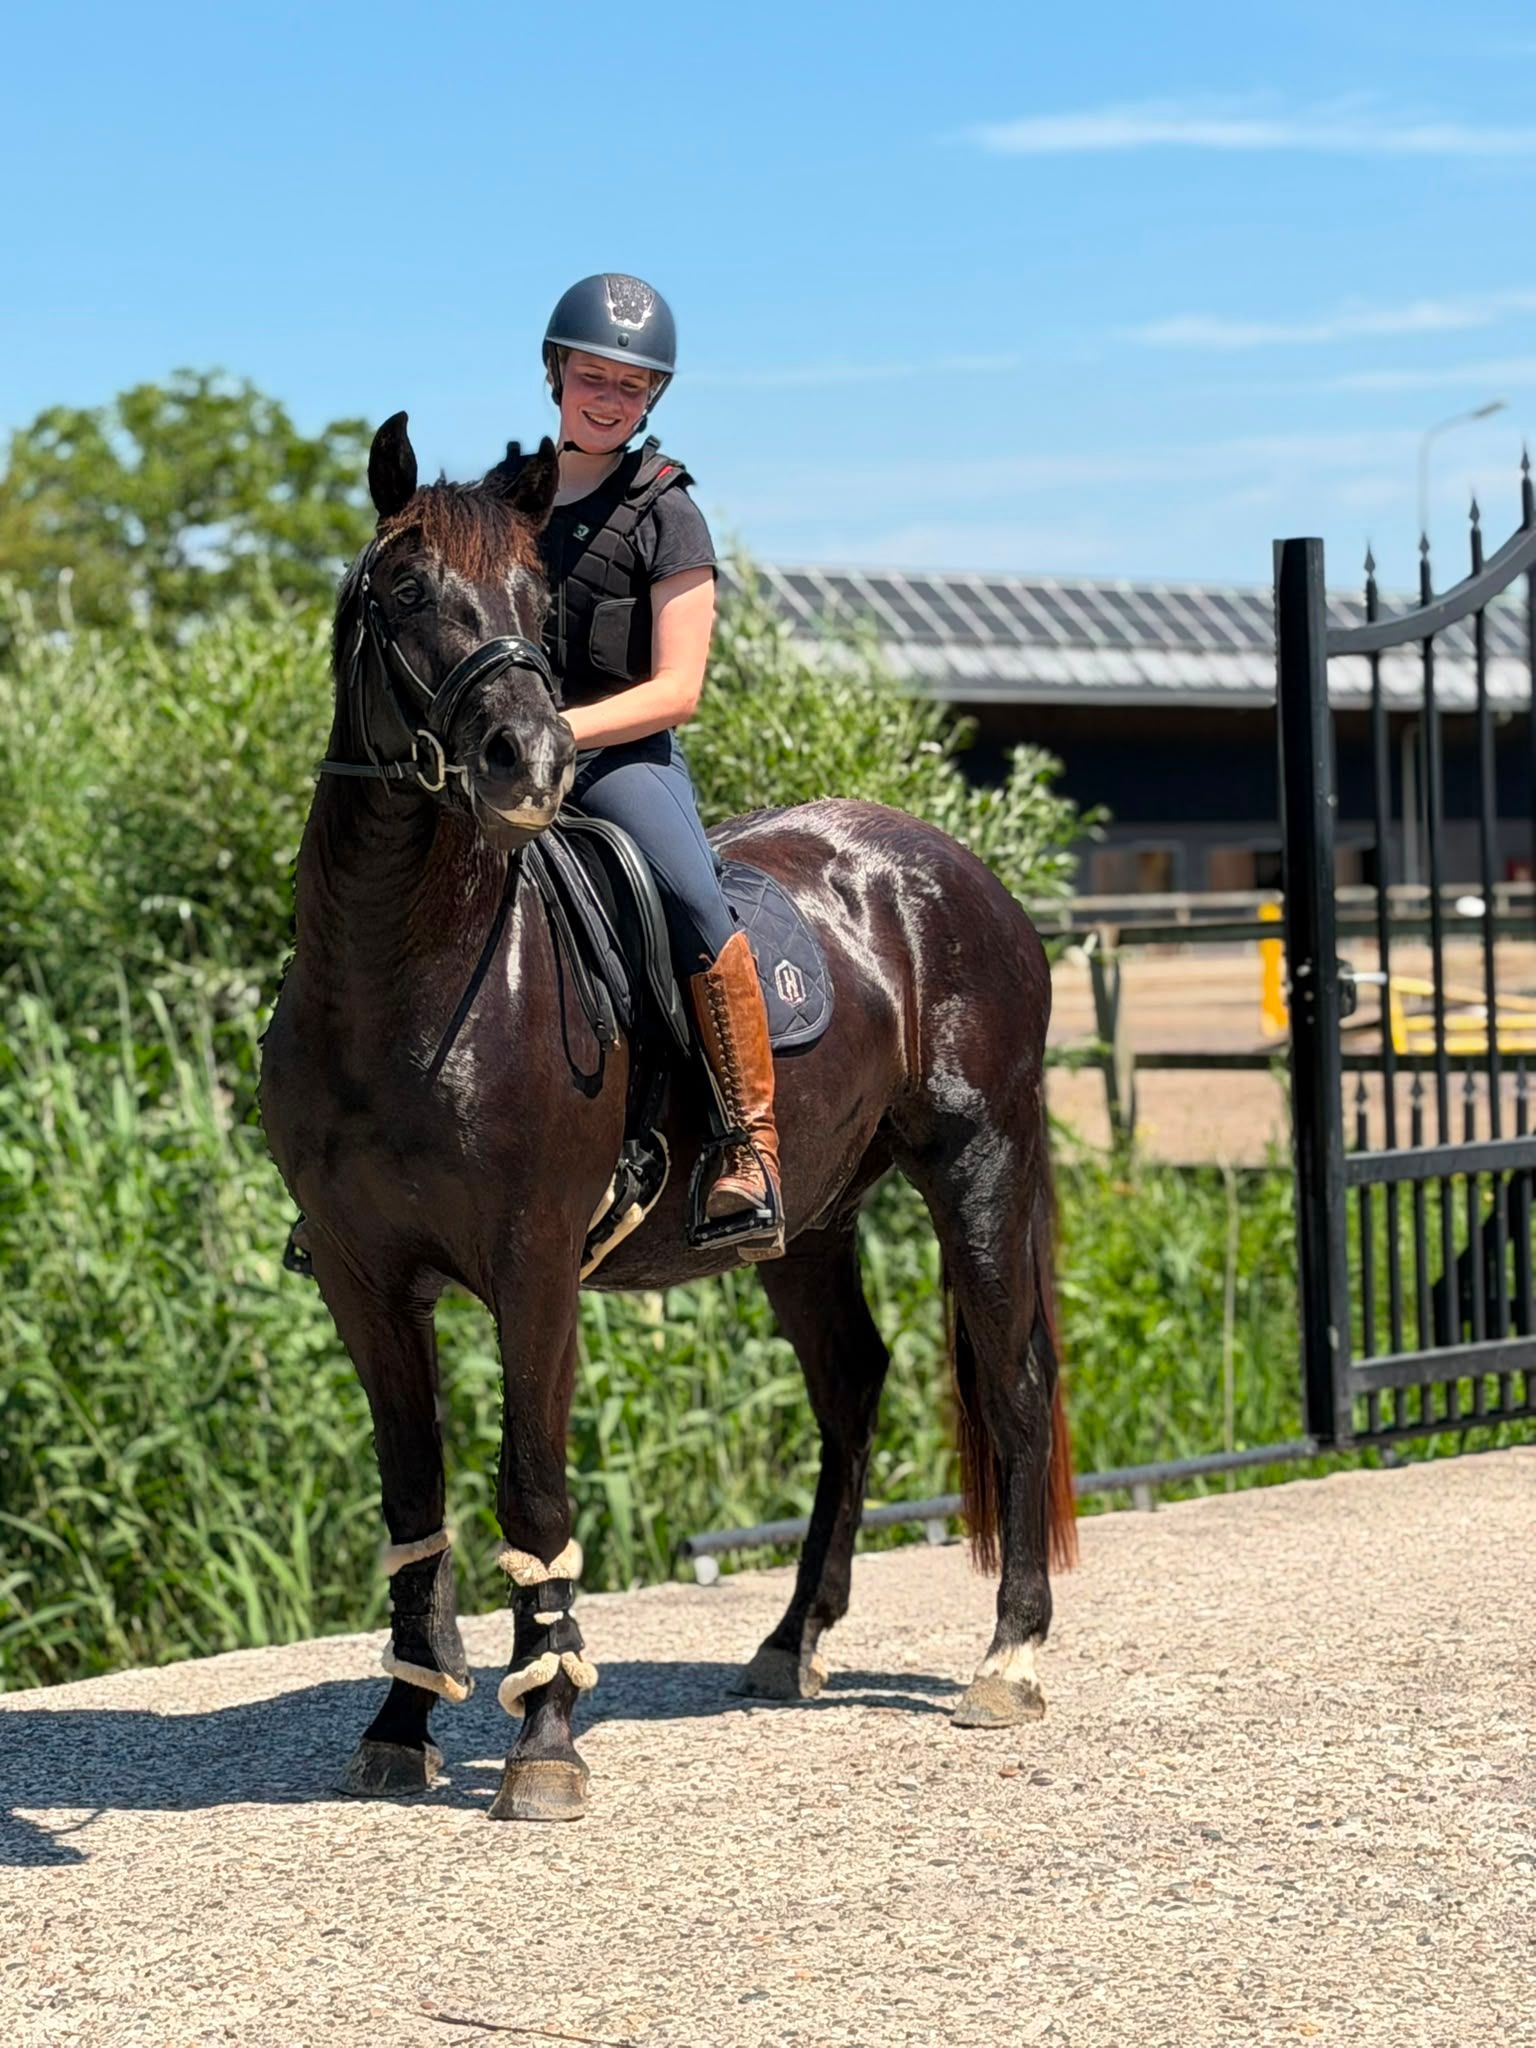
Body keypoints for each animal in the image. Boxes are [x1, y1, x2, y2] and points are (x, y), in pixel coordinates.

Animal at [258, 413, 1075, 1824]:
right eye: (405, 591)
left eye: (533, 598)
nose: (528, 759)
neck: (400, 986)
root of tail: (954, 868)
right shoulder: (365, 1279)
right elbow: (413, 1487)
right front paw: (403, 1718)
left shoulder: (534, 1268)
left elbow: (531, 1483)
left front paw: (545, 1738)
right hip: (807, 1224)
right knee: (852, 1385)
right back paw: (791, 1641)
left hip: (981, 1164)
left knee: (1013, 1384)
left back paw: (1008, 1658)